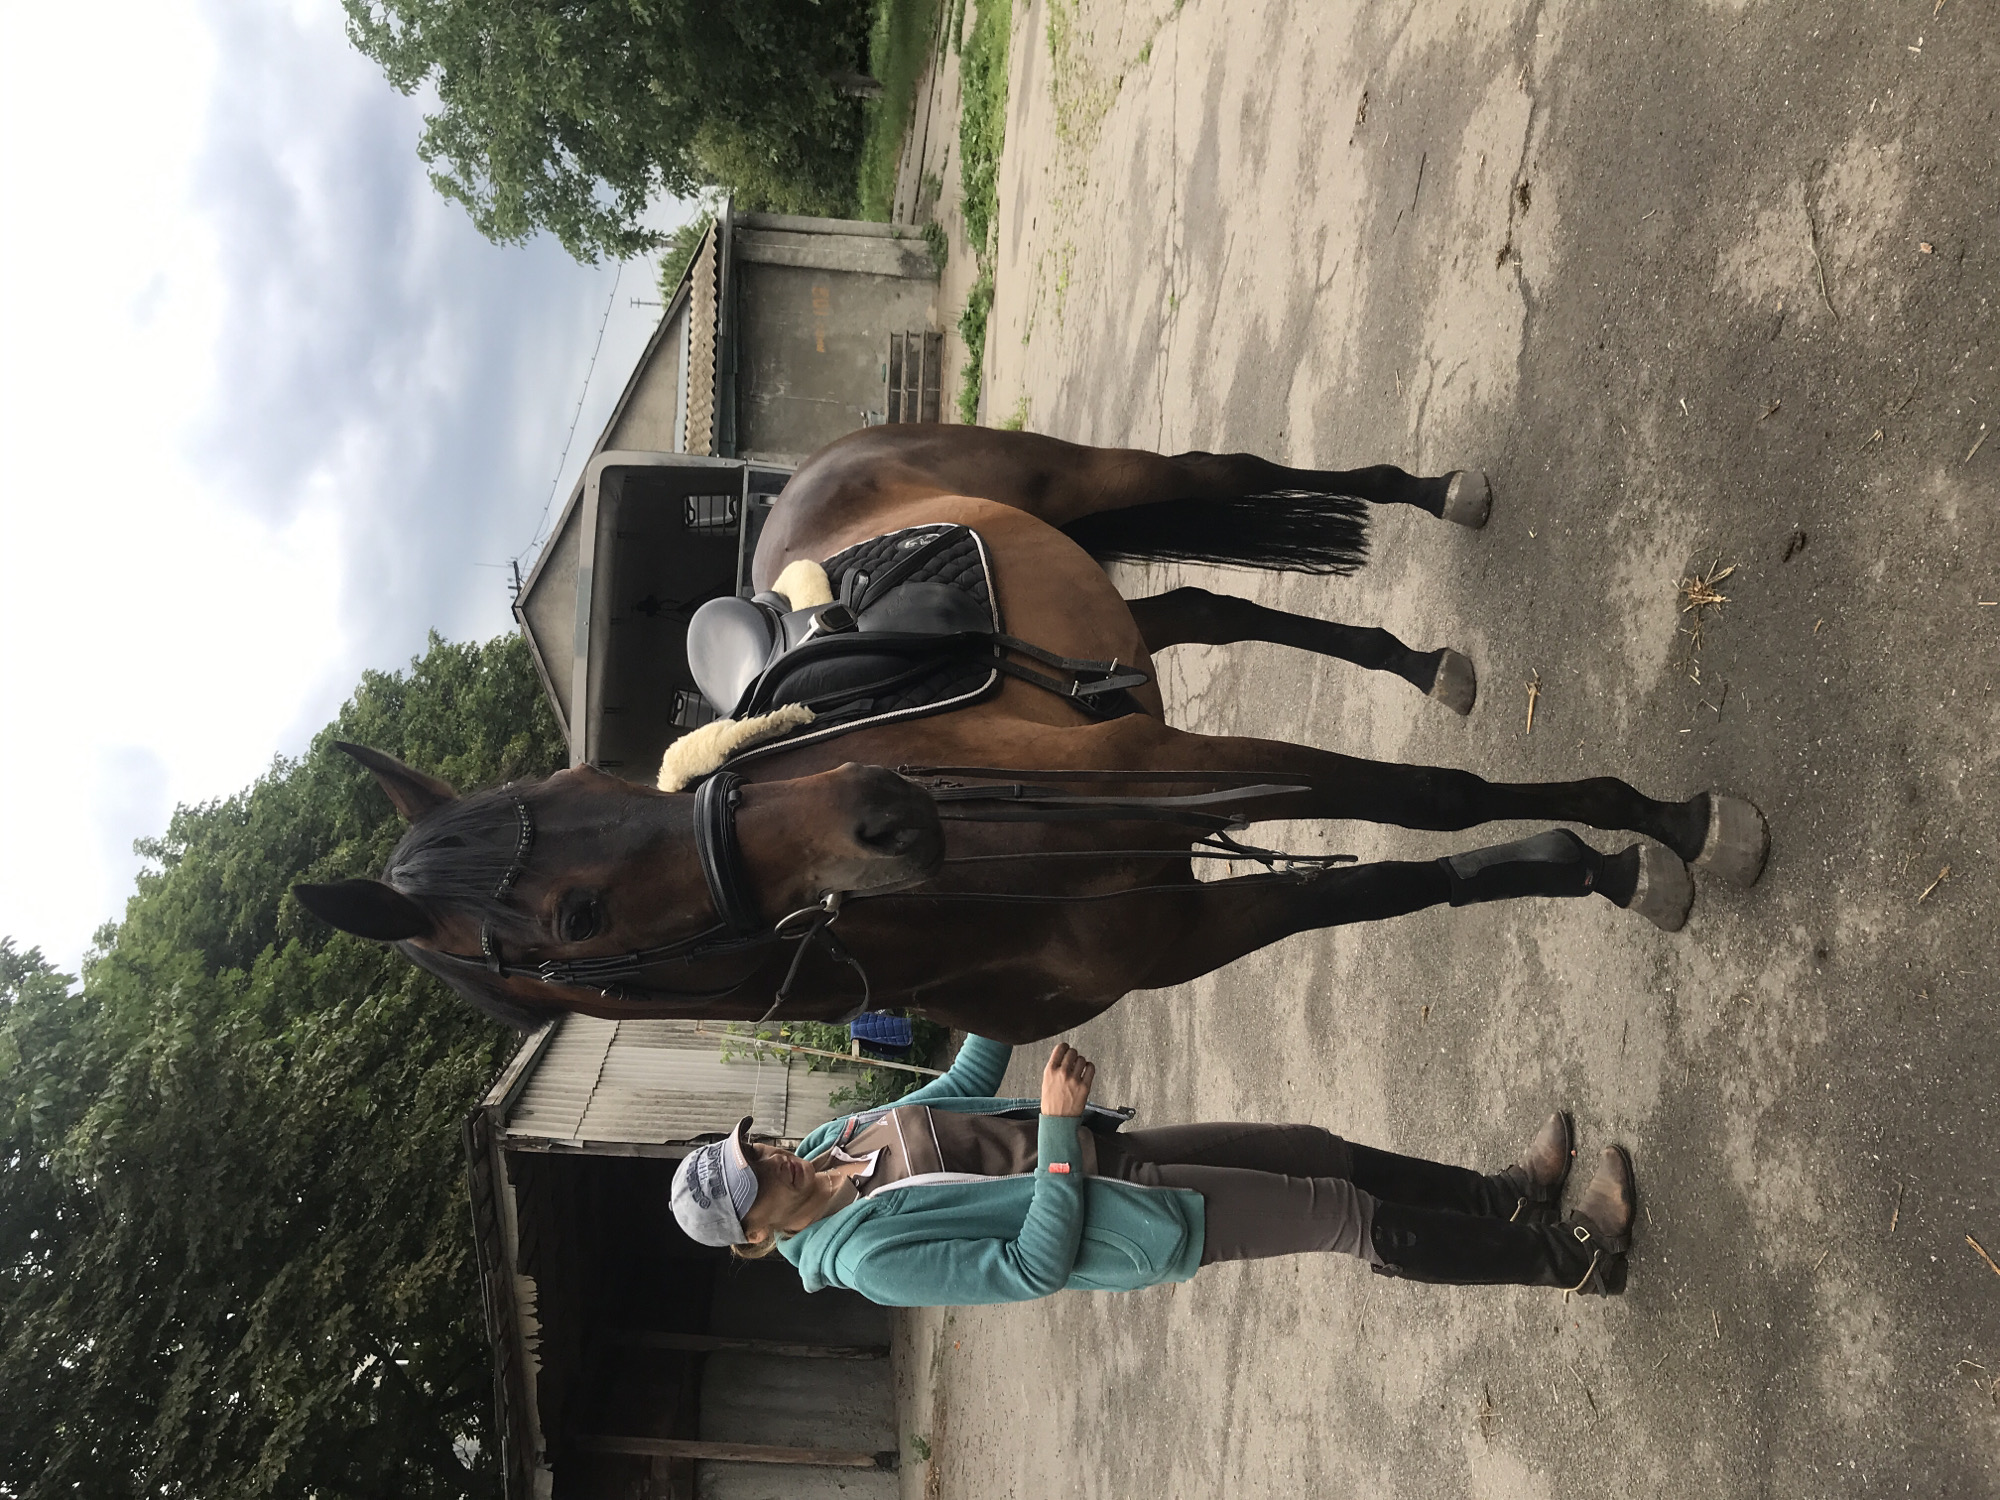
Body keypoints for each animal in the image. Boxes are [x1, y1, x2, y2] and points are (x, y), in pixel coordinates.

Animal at [296, 426, 1768, 1043]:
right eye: (577, 919)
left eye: (598, 774)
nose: (884, 807)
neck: (977, 895)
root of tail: (811, 468)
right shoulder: (1195, 922)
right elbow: (1420, 876)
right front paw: (1604, 860)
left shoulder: (1182, 771)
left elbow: (1436, 802)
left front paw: (1667, 825)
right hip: (1118, 619)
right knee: (1209, 602)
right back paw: (1413, 660)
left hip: (1091, 478)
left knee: (1231, 478)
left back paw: (1440, 495)